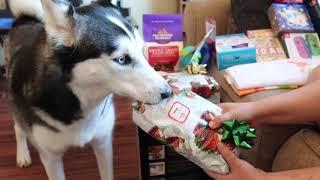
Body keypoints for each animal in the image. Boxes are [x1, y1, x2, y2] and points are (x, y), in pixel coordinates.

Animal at [4, 0, 172, 179]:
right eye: (122, 59)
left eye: (141, 50)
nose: (168, 93)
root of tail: (24, 20)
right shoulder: (51, 158)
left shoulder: (103, 143)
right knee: (18, 127)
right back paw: (22, 155)